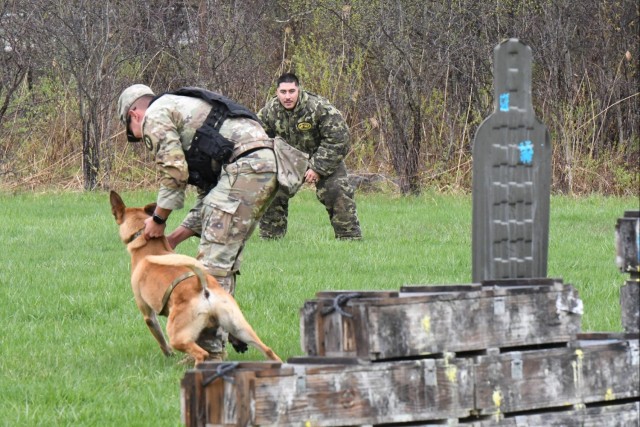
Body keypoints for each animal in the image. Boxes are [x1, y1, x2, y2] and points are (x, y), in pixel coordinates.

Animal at [109, 192, 282, 366]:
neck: (148, 245)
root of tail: (202, 286)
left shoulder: (148, 313)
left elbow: (160, 339)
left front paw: (168, 354)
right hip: (240, 327)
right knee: (268, 350)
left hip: (177, 336)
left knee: (201, 353)